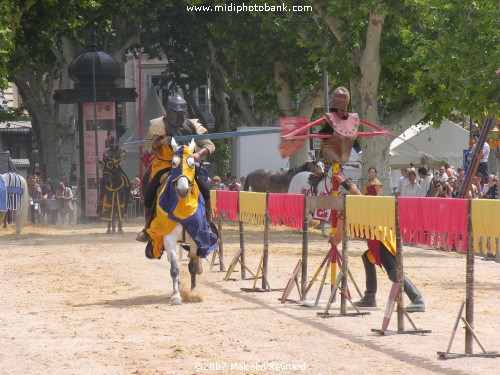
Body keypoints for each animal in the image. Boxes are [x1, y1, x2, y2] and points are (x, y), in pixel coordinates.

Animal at [147, 140, 218, 304]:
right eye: (174, 163)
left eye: (192, 164)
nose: (183, 190)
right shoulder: (169, 238)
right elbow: (174, 268)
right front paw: (176, 295)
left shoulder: (196, 238)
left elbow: (192, 266)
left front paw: (193, 292)